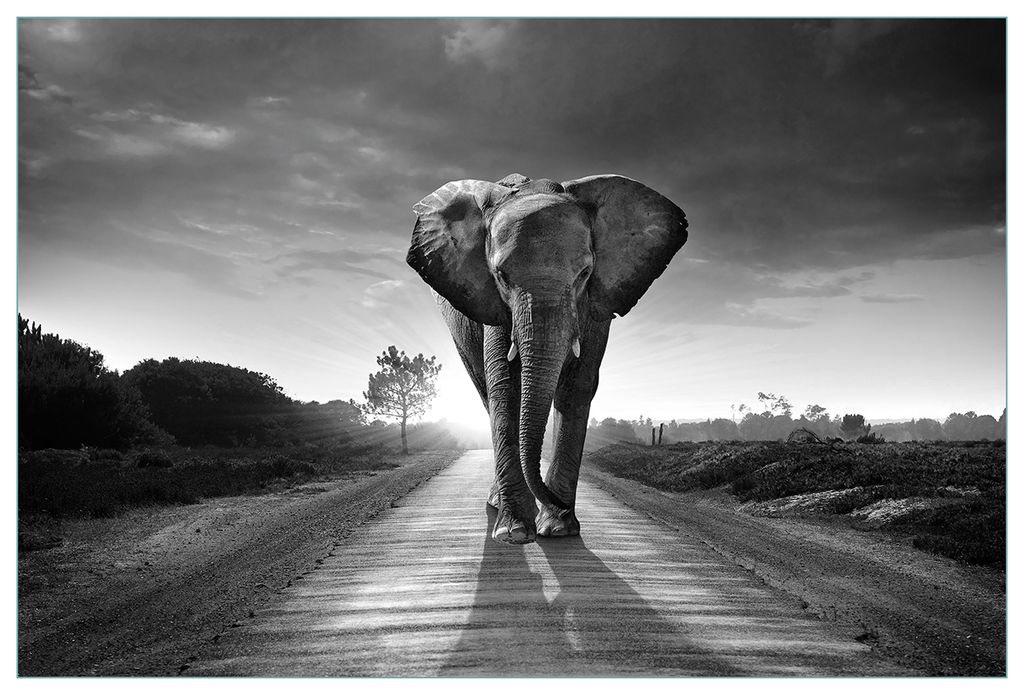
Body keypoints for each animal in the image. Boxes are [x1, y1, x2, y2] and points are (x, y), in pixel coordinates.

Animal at [406, 173, 687, 544]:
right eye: (501, 276)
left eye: (584, 274)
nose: (559, 504)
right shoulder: (494, 306)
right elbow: (505, 388)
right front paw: (514, 532)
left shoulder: (595, 305)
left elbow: (577, 387)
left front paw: (558, 528)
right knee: (485, 393)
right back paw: (498, 504)